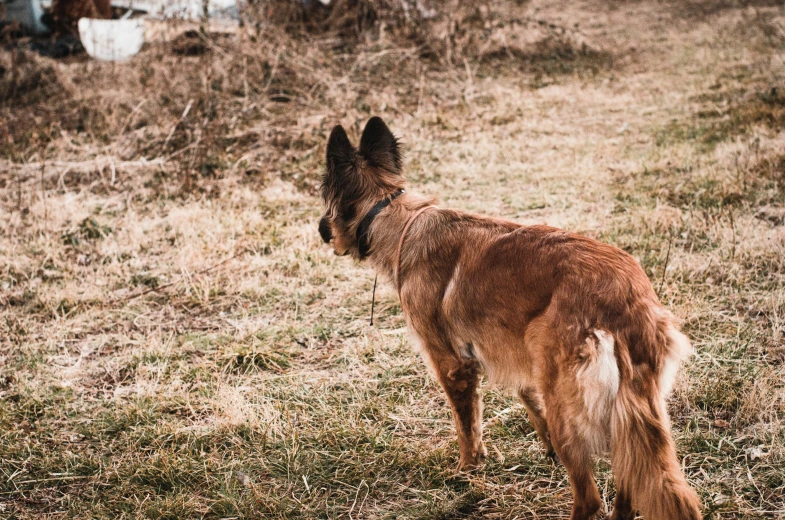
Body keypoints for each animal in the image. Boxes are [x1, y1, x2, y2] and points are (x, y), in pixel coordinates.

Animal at [316, 118, 700, 520]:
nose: (320, 229)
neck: (395, 215)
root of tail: (626, 296)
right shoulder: (515, 351)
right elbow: (527, 397)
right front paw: (542, 446)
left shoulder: (452, 364)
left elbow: (467, 426)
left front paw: (467, 470)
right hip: (622, 411)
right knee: (628, 483)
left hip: (568, 406)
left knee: (590, 497)